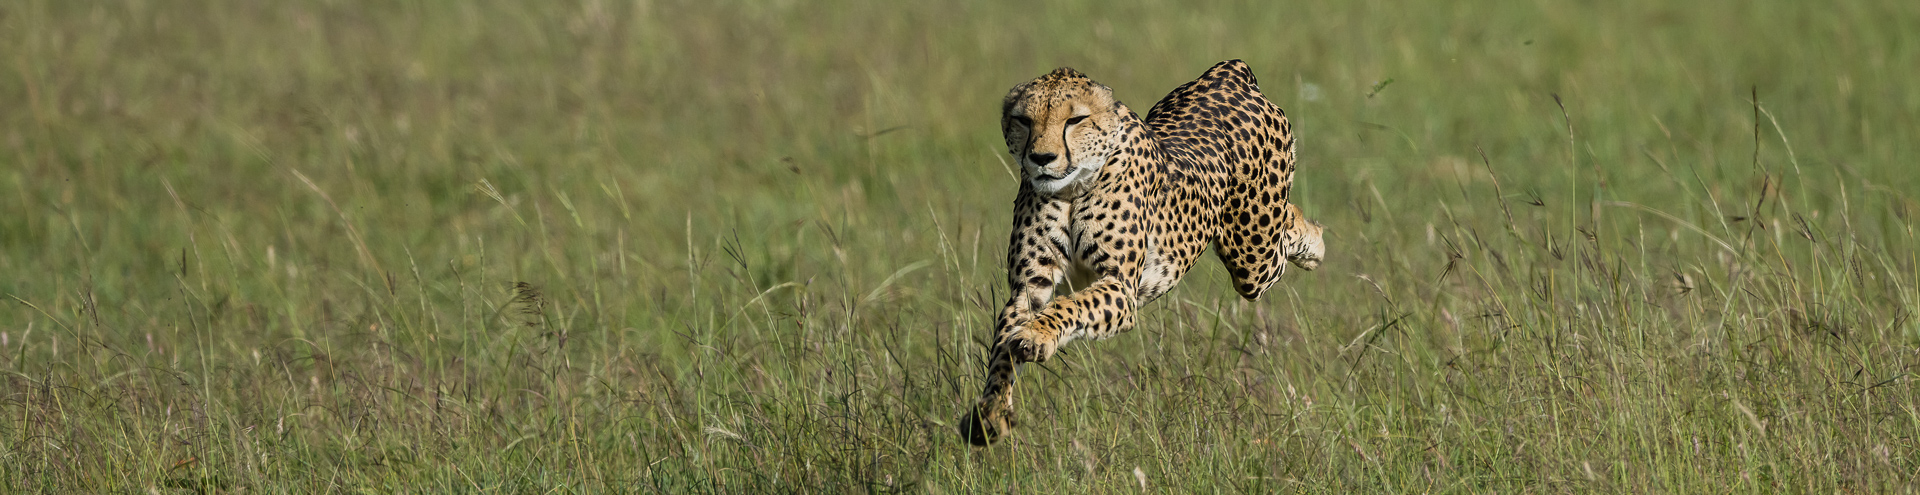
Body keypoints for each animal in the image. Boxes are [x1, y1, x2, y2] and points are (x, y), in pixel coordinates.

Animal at [960, 60, 1320, 445]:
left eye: (1075, 120)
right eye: (1023, 120)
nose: (1041, 158)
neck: (1073, 186)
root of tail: (1227, 71)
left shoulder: (1121, 287)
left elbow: (1070, 306)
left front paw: (1036, 335)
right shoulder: (1028, 289)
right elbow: (1002, 349)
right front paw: (990, 414)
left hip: (1253, 256)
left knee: (1287, 226)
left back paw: (1314, 247)